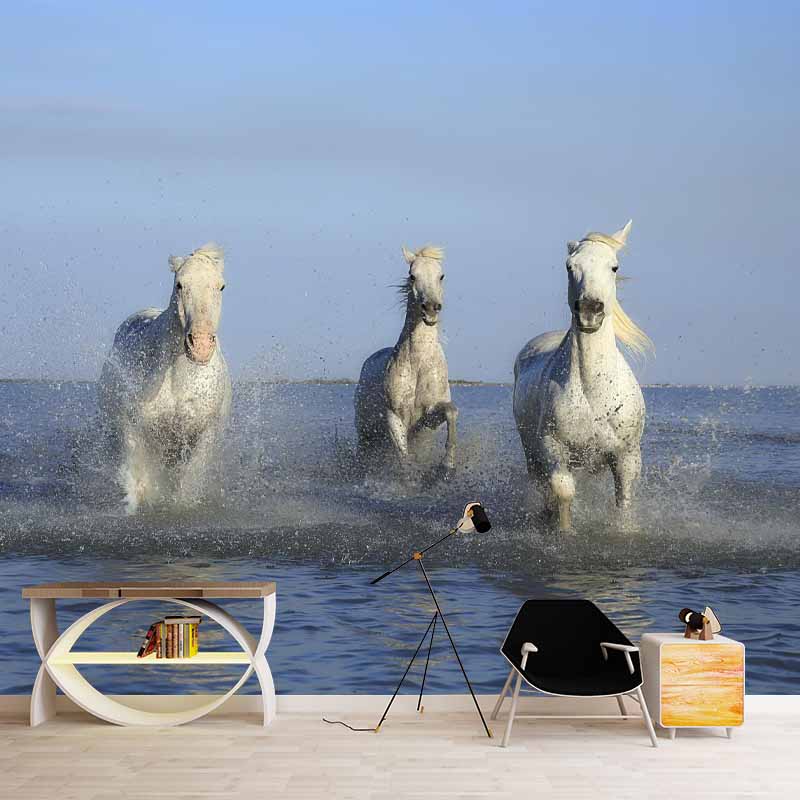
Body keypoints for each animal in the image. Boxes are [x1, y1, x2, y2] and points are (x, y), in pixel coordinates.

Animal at [98, 243, 232, 512]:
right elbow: (139, 479)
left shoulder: (203, 434)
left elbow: (188, 482)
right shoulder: (134, 426)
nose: (200, 345)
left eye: (221, 286)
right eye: (179, 284)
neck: (177, 379)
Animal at [354, 245, 457, 479]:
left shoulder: (428, 418)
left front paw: (447, 466)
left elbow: (451, 411)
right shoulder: (394, 417)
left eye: (441, 276)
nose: (431, 308)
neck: (419, 364)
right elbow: (403, 457)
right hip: (365, 434)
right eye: (412, 276)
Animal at [513, 221, 653, 531]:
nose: (590, 310)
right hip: (531, 453)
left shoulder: (627, 457)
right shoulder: (553, 449)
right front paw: (564, 531)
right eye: (569, 266)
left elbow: (623, 501)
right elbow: (563, 491)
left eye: (614, 266)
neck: (594, 391)